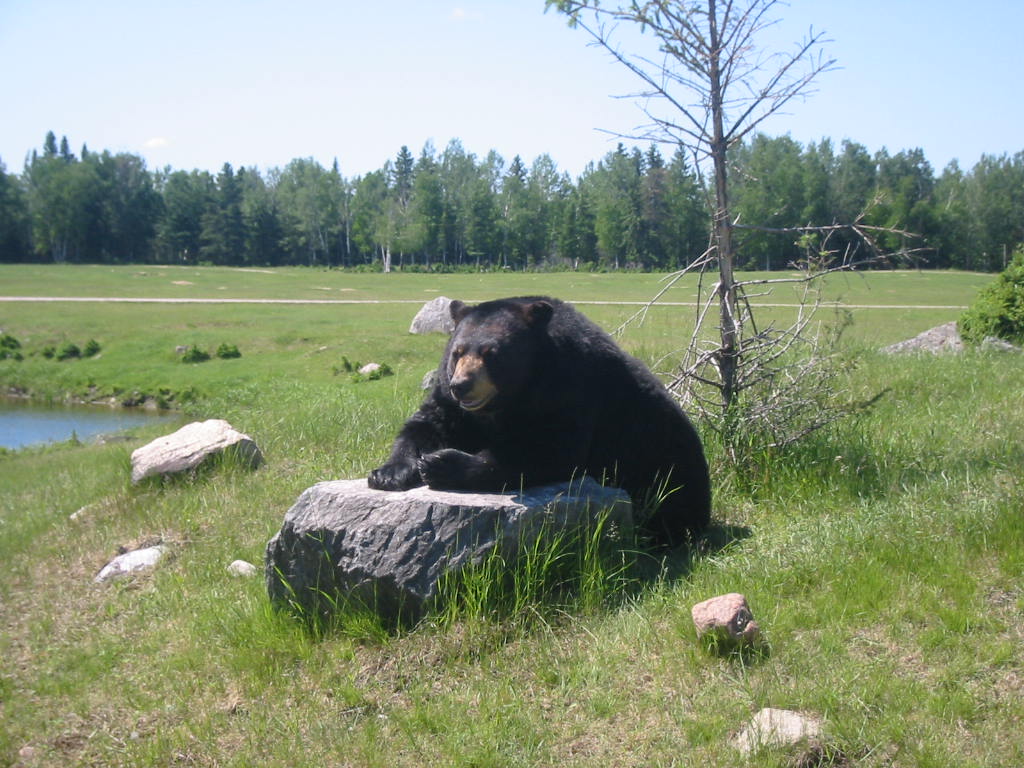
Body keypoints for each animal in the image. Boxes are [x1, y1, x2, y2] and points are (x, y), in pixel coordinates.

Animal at [368, 296, 712, 548]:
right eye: (457, 351)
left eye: (491, 352)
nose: (462, 385)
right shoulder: (453, 404)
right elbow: (429, 423)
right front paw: (388, 472)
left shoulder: (569, 389)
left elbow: (547, 450)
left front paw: (441, 463)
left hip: (665, 466)